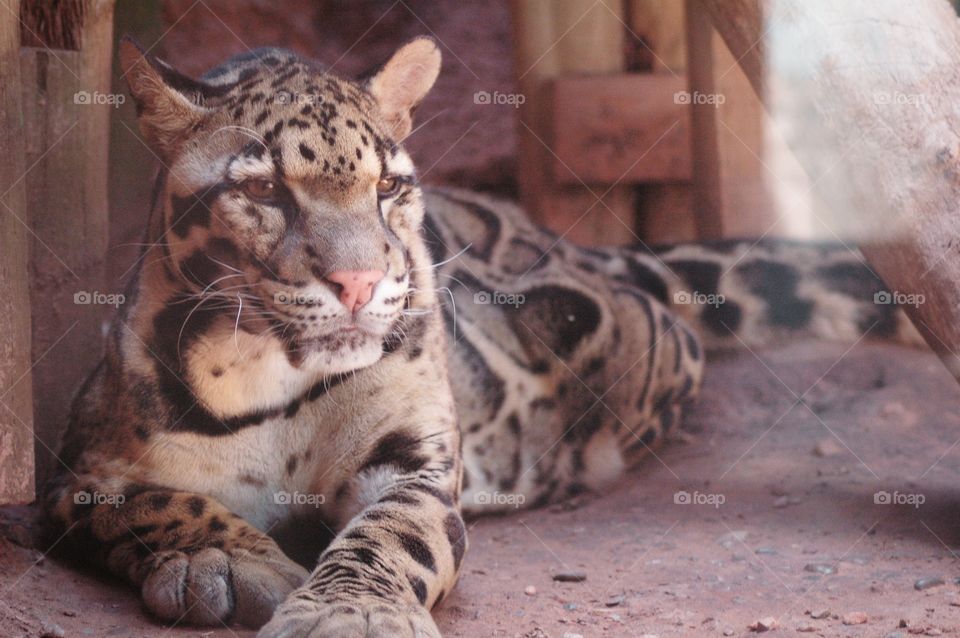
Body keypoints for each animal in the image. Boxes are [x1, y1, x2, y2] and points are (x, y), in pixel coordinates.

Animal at [42, 35, 923, 637]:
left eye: (388, 186)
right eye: (262, 191)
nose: (359, 283)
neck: (272, 373)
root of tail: (565, 241)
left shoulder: (415, 464)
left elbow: (390, 535)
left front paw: (349, 613)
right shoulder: (76, 472)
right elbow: (151, 501)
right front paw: (229, 557)